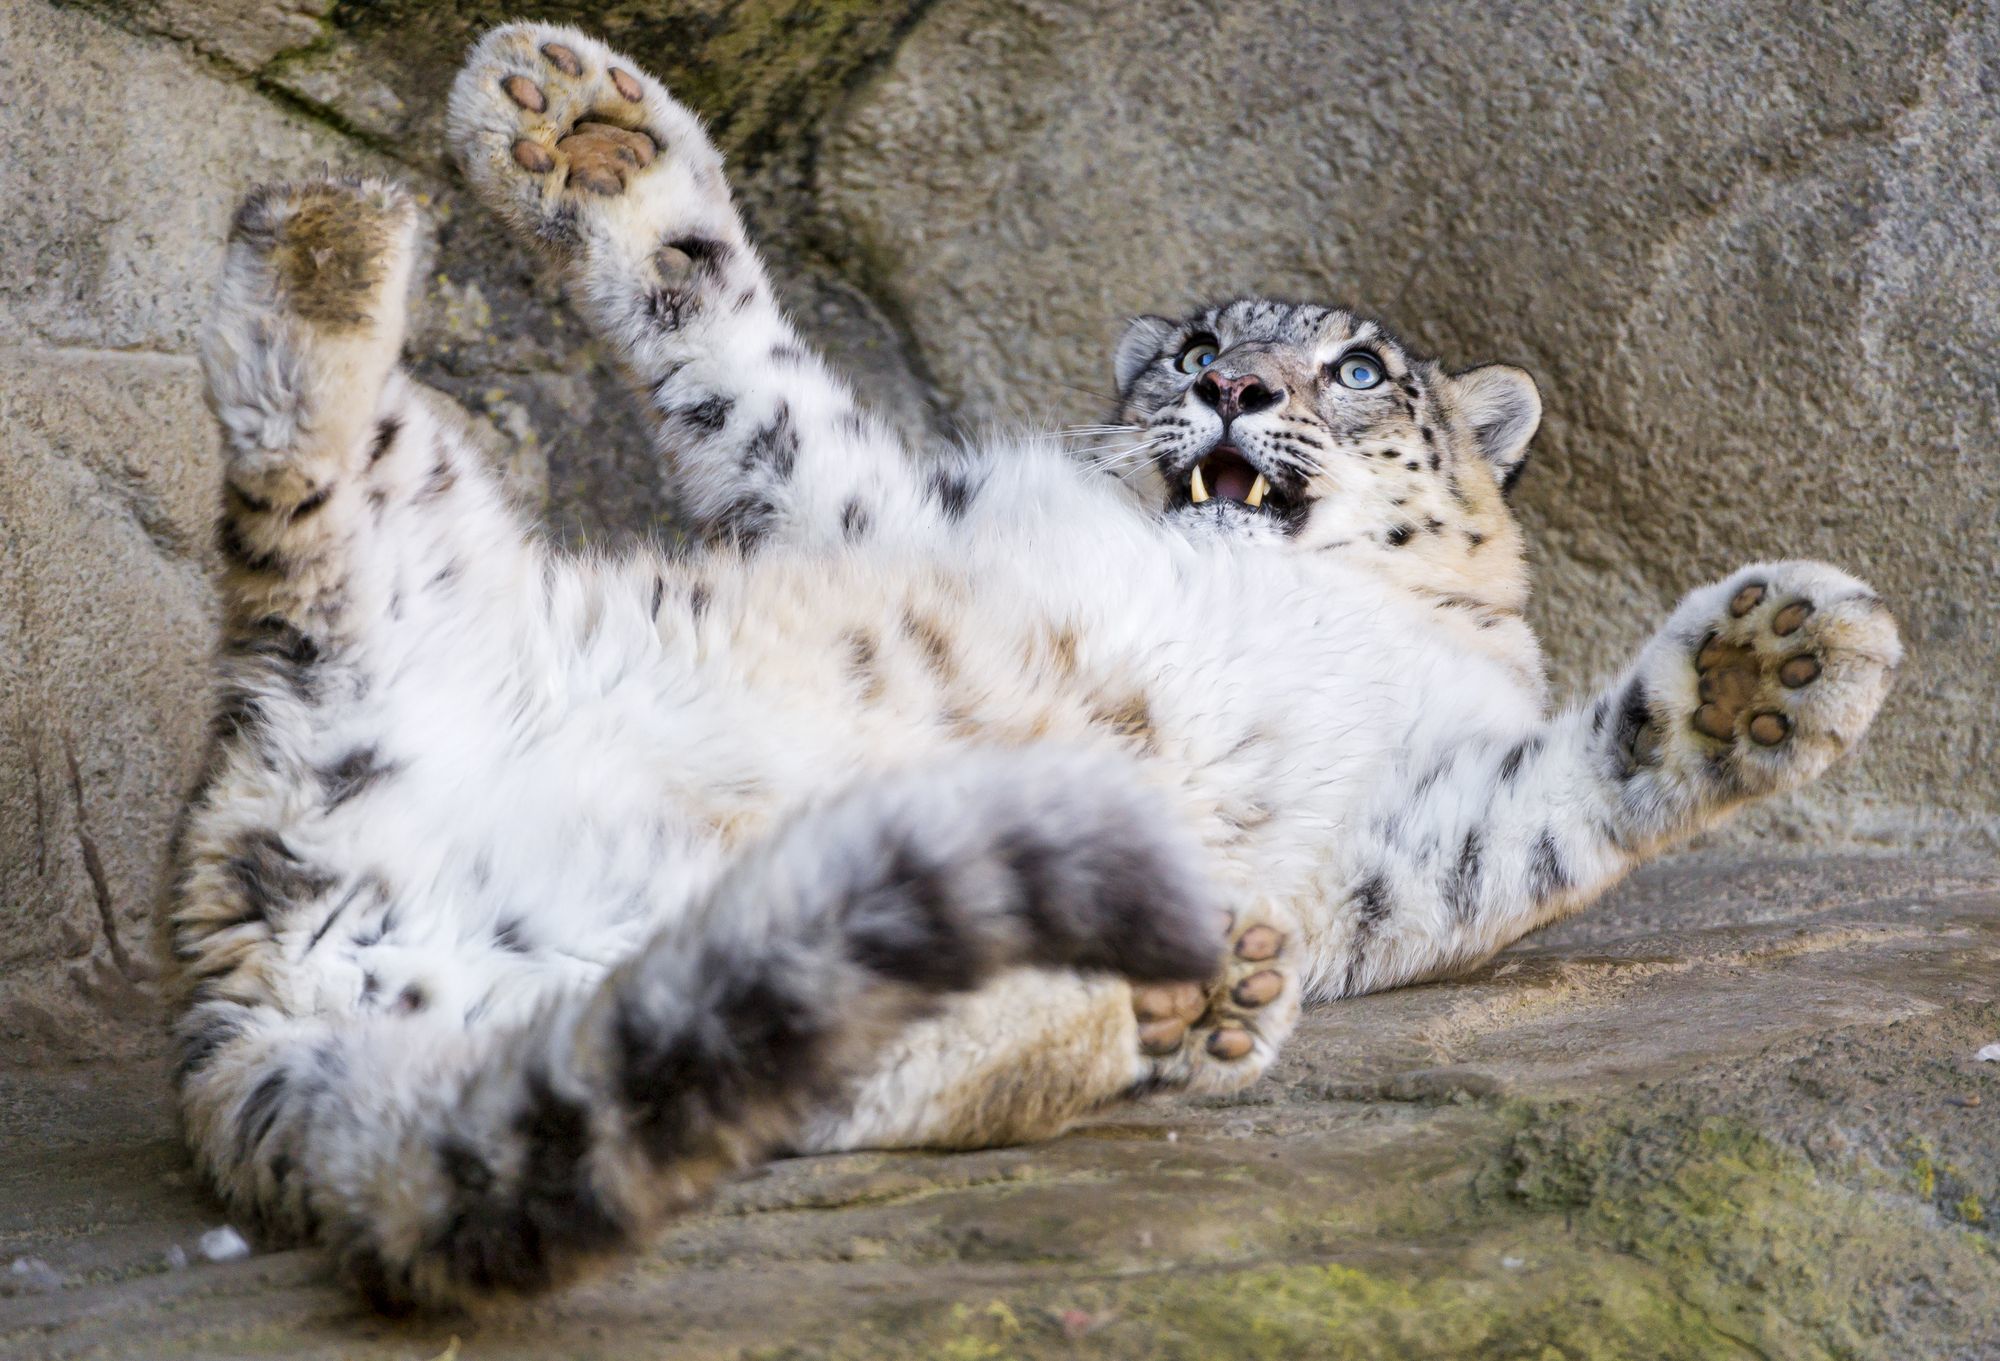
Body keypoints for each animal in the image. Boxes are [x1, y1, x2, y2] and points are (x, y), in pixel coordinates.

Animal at [164, 21, 1896, 1312]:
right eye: (1192, 349)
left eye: (1355, 368)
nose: (1235, 387)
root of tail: (263, 973)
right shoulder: (884, 507)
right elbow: (735, 354)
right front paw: (585, 128)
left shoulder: (1404, 830)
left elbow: (1556, 804)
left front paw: (1771, 664)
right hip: (405, 577)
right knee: (291, 479)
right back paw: (326, 250)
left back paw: (1169, 1005)